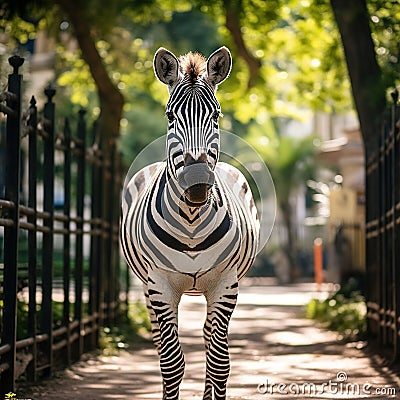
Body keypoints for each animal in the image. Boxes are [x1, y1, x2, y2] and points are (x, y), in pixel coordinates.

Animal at [120, 47, 260, 400]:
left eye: (216, 116)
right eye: (170, 117)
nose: (196, 186)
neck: (192, 222)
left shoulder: (226, 282)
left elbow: (219, 363)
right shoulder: (159, 284)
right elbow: (171, 363)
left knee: (210, 338)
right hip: (147, 289)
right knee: (161, 343)